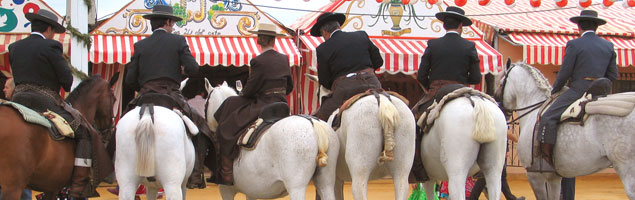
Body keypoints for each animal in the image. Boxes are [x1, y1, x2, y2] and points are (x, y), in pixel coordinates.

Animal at [206, 81, 340, 200]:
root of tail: (312, 122)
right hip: (326, 183)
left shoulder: (226, 190)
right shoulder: (251, 192)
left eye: (205, 103)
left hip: (296, 187)